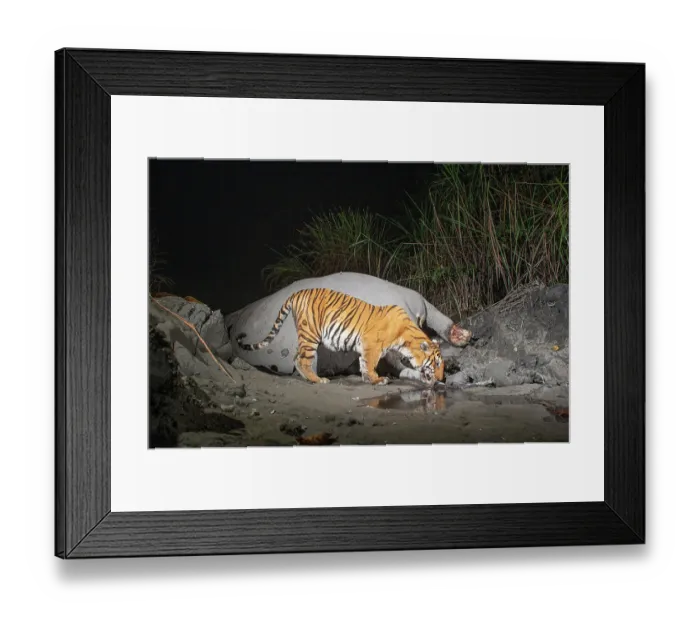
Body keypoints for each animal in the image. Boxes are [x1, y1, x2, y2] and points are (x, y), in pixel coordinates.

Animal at [236, 288, 445, 386]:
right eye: (436, 364)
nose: (442, 378)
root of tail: (296, 293)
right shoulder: (372, 345)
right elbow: (370, 363)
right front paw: (378, 379)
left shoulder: (366, 347)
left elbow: (363, 364)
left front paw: (369, 379)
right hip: (311, 334)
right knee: (302, 359)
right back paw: (318, 380)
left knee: (296, 357)